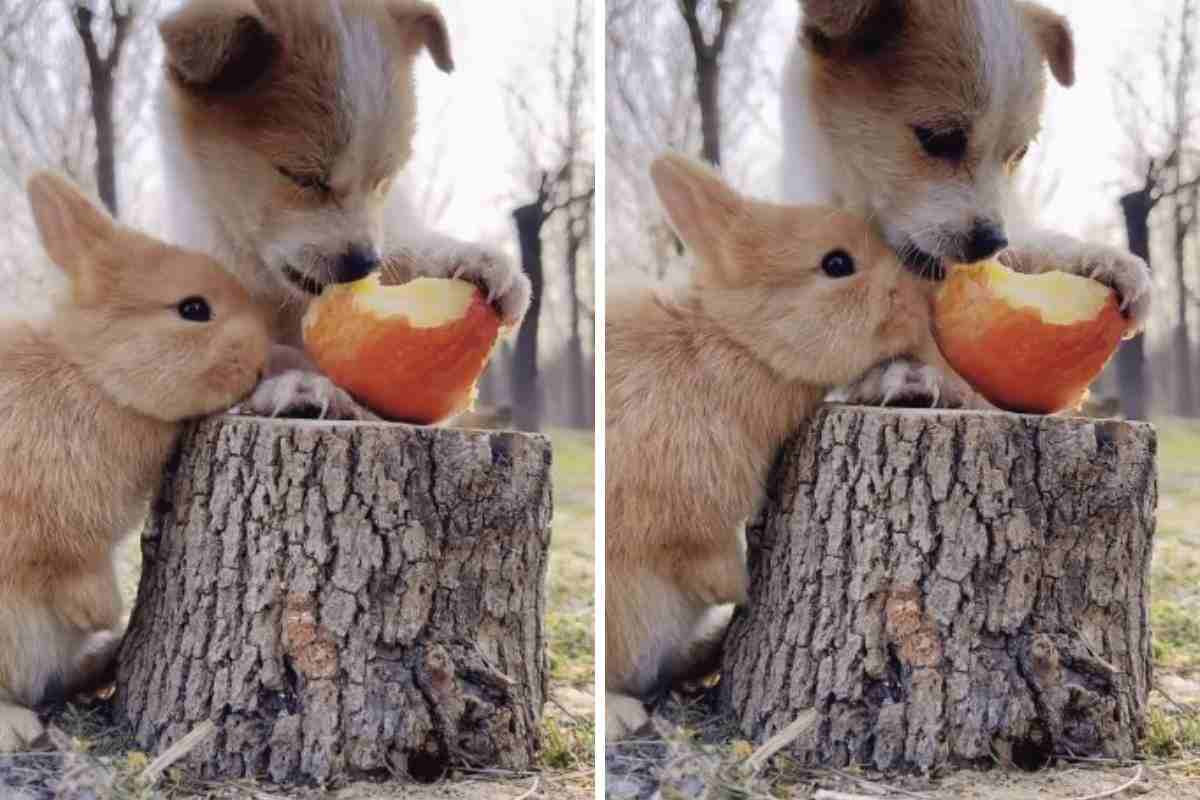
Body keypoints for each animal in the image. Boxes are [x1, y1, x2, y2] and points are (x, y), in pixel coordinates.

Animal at [0, 172, 272, 753]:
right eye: (193, 309)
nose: (261, 362)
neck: (93, 377)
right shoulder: (46, 523)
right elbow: (68, 563)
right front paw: (103, 611)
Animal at [157, 0, 532, 422]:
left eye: (383, 181)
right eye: (303, 178)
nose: (363, 264)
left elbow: (406, 250)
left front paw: (476, 262)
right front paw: (300, 382)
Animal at [604, 153, 969, 743]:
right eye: (837, 263)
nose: (921, 299)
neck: (733, 342)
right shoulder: (678, 499)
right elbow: (705, 555)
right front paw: (747, 586)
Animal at [777, 0, 1152, 407]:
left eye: (1018, 153)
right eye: (939, 139)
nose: (991, 242)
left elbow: (1028, 247)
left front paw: (1103, 260)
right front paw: (897, 370)